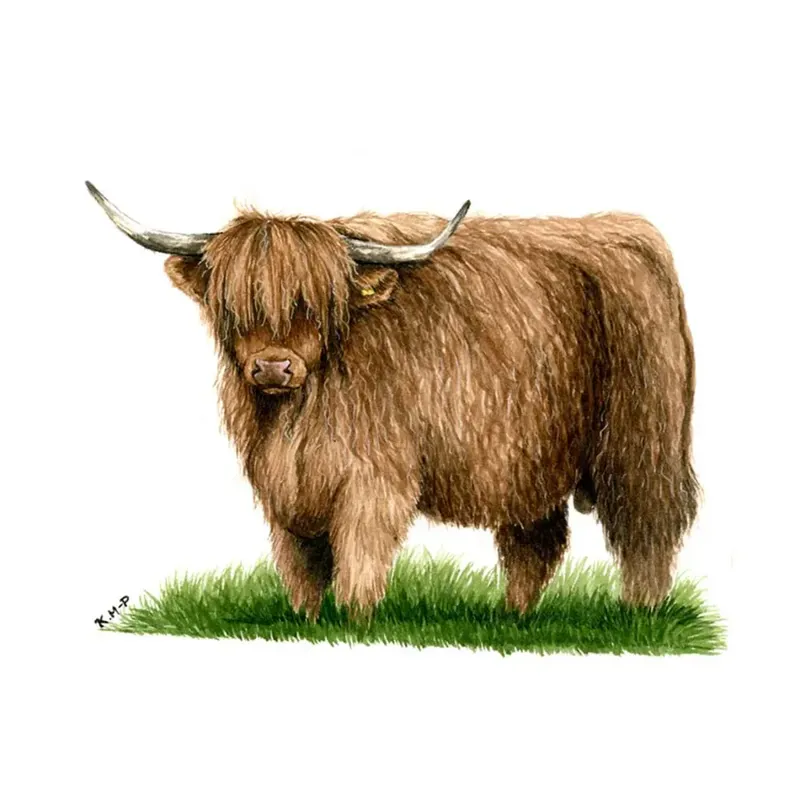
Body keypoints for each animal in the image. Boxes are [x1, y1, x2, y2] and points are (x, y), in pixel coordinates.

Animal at [87, 182, 699, 620]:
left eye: (316, 303)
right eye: (235, 305)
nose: (273, 366)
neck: (297, 417)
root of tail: (628, 231)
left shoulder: (374, 481)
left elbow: (358, 566)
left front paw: (356, 625)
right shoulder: (283, 488)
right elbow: (302, 569)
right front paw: (308, 623)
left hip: (640, 441)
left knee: (647, 529)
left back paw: (639, 615)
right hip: (530, 460)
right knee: (537, 542)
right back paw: (513, 618)